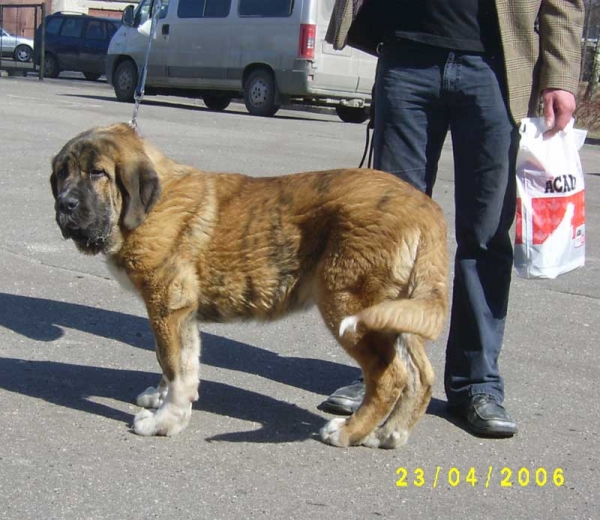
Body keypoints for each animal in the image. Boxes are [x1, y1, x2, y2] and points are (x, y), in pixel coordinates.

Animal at [50, 124, 446, 448]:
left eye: (97, 173)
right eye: (62, 173)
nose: (64, 205)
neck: (150, 209)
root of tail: (426, 209)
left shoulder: (167, 304)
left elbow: (174, 364)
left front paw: (163, 422)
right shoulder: (178, 313)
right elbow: (177, 361)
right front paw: (163, 400)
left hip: (348, 305)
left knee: (389, 376)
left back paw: (349, 432)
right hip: (397, 310)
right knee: (420, 375)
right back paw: (390, 433)